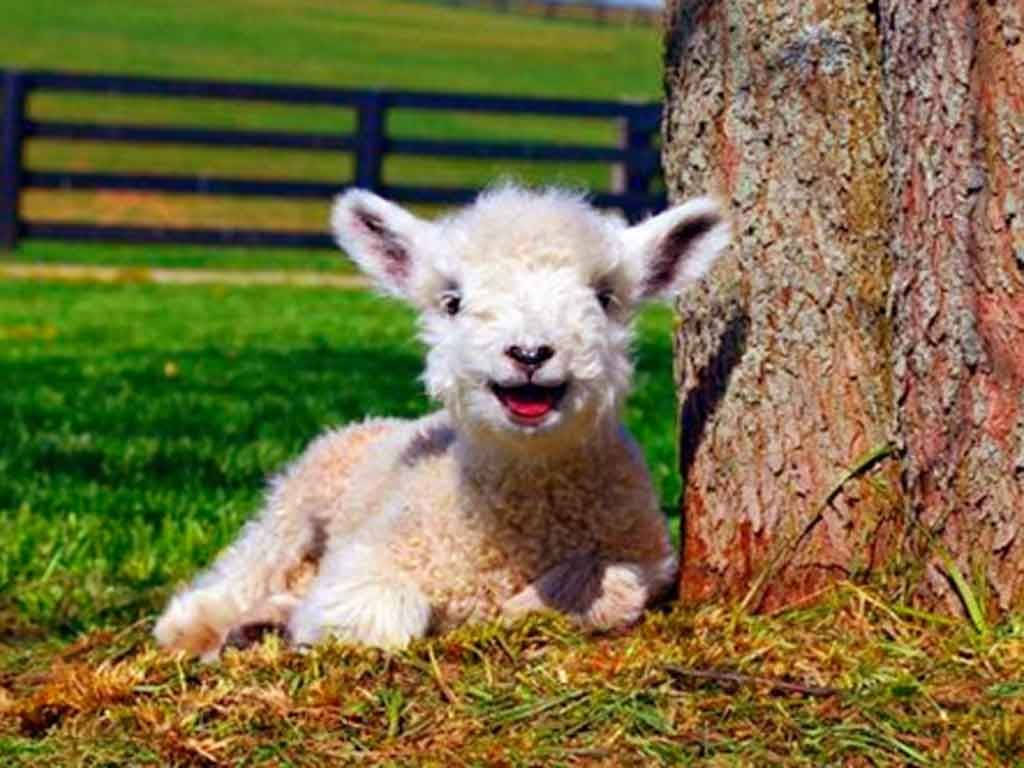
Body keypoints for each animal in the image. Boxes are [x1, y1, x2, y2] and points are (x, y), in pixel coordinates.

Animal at [149, 183, 729, 659]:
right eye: (452, 301)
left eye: (605, 298)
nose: (529, 353)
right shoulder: (371, 557)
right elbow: (372, 614)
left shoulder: (646, 555)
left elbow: (609, 586)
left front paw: (524, 609)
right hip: (296, 503)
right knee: (244, 572)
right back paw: (205, 625)